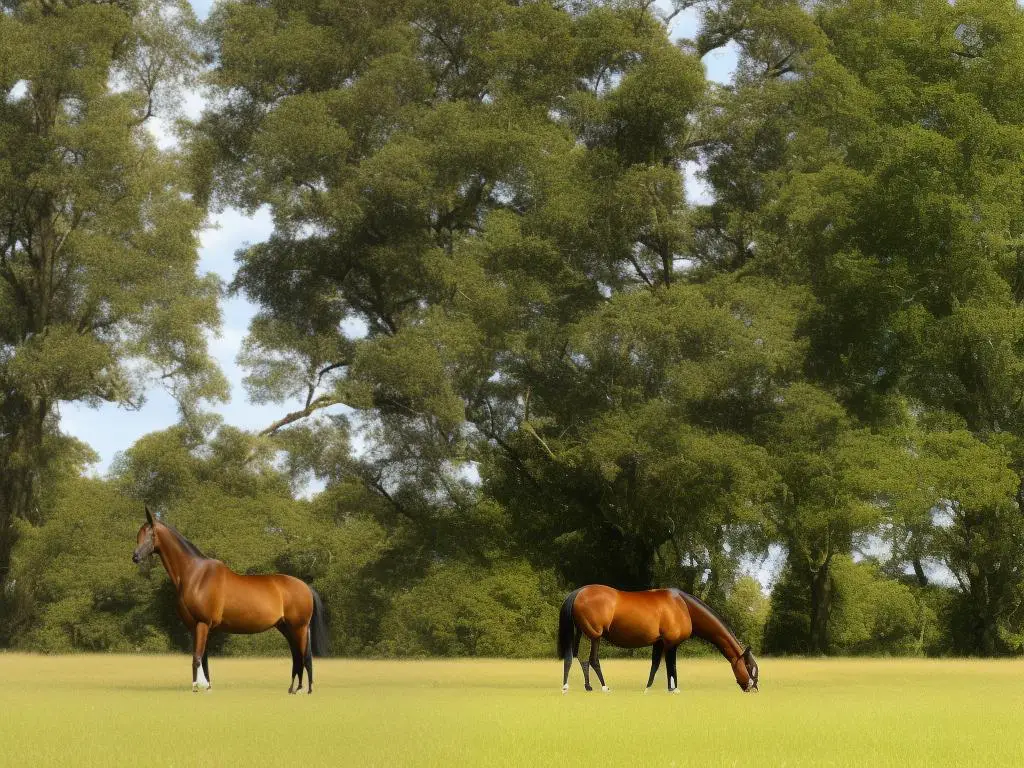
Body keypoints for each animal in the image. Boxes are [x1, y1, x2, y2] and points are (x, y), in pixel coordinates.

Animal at [130, 507, 325, 696]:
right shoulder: (195, 627)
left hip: (299, 627)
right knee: (297, 656)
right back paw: (293, 689)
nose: (135, 557)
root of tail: (306, 587)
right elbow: (203, 658)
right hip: (285, 627)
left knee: (304, 656)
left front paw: (196, 688)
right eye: (138, 535)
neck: (195, 575)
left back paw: (304, 689)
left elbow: (197, 657)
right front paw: (207, 686)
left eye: (151, 534)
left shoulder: (202, 623)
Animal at [557, 585, 757, 696]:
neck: (683, 606)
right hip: (595, 636)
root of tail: (578, 592)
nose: (754, 689)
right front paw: (673, 689)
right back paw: (603, 687)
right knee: (592, 659)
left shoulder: (659, 642)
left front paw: (649, 688)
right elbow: (671, 666)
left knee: (575, 657)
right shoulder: (671, 643)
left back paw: (580, 686)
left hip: (582, 633)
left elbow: (655, 665)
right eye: (749, 667)